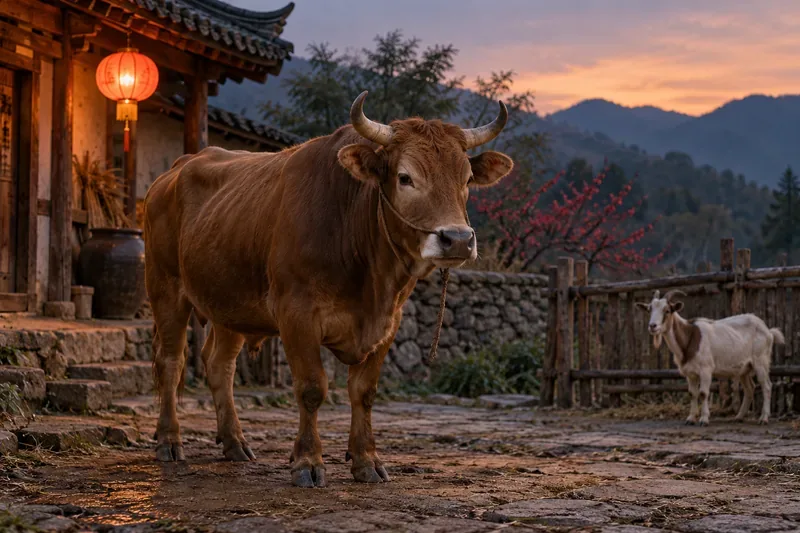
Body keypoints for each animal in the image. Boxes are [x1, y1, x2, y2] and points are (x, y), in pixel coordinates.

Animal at [636, 289, 784, 425]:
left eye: (667, 310)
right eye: (649, 309)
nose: (652, 326)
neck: (689, 337)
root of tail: (768, 331)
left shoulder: (705, 369)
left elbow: (703, 393)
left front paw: (704, 419)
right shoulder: (690, 373)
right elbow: (692, 393)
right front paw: (690, 419)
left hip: (761, 360)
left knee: (766, 386)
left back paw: (763, 418)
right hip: (745, 368)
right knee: (750, 388)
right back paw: (739, 417)